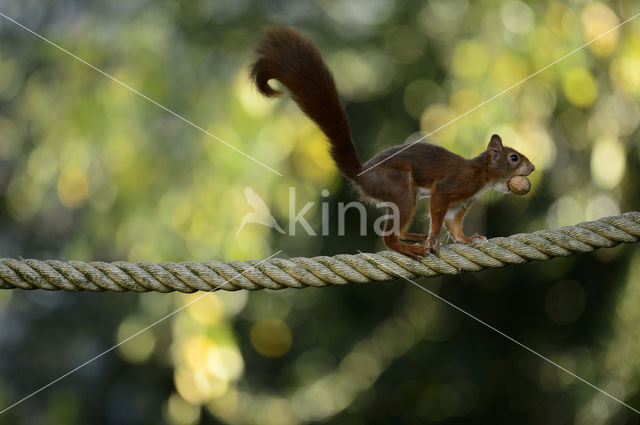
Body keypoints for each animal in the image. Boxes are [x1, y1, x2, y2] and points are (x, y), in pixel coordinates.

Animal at [250, 28, 536, 258]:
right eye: (513, 157)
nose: (532, 169)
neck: (482, 175)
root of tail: (362, 174)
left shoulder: (460, 205)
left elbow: (453, 225)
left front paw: (467, 239)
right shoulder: (452, 186)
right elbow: (438, 211)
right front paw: (433, 240)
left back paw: (413, 238)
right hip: (398, 185)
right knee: (389, 235)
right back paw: (410, 247)